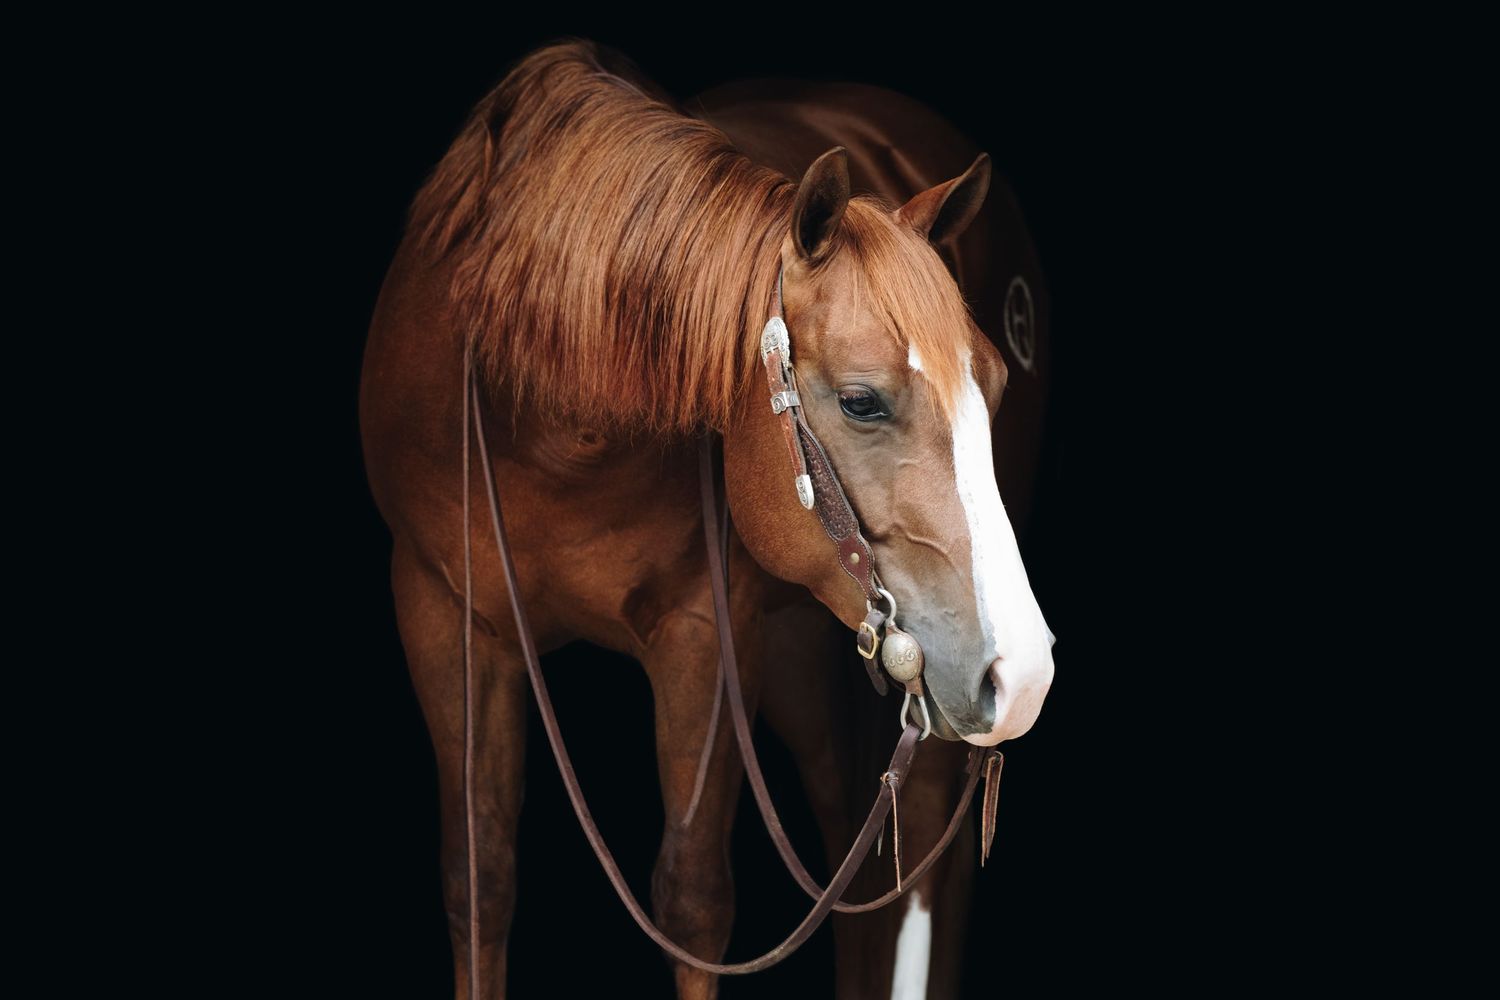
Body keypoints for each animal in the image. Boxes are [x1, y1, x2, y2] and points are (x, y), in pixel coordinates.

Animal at [359, 37, 1055, 1000]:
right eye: (862, 401)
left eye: (991, 385)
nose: (1022, 672)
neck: (547, 410)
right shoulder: (442, 613)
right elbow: (480, 879)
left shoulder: (702, 635)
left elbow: (691, 900)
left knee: (913, 844)